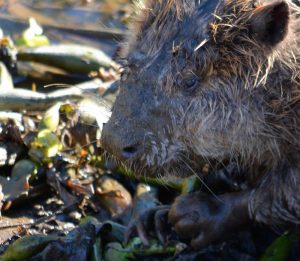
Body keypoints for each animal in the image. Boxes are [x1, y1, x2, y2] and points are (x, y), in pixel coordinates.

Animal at [100, 0, 300, 248]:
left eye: (189, 81)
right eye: (127, 67)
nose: (113, 143)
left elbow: (281, 193)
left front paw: (193, 215)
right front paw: (153, 218)